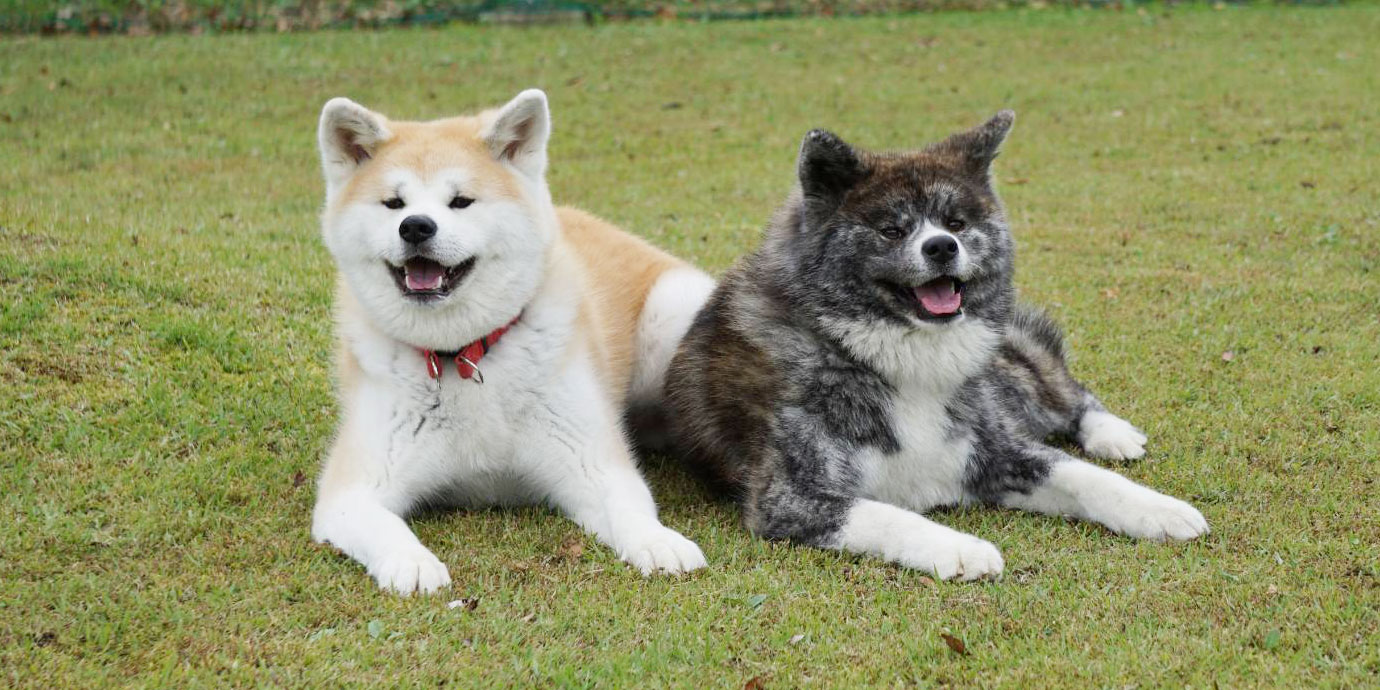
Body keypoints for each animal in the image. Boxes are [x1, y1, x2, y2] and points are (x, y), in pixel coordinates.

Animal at [667, 111, 1208, 576]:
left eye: (957, 223)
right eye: (891, 229)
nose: (943, 246)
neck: (901, 358)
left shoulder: (999, 451)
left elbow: (1084, 476)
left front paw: (1159, 508)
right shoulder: (789, 498)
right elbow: (891, 515)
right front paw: (962, 549)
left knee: (1069, 394)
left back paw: (1112, 434)